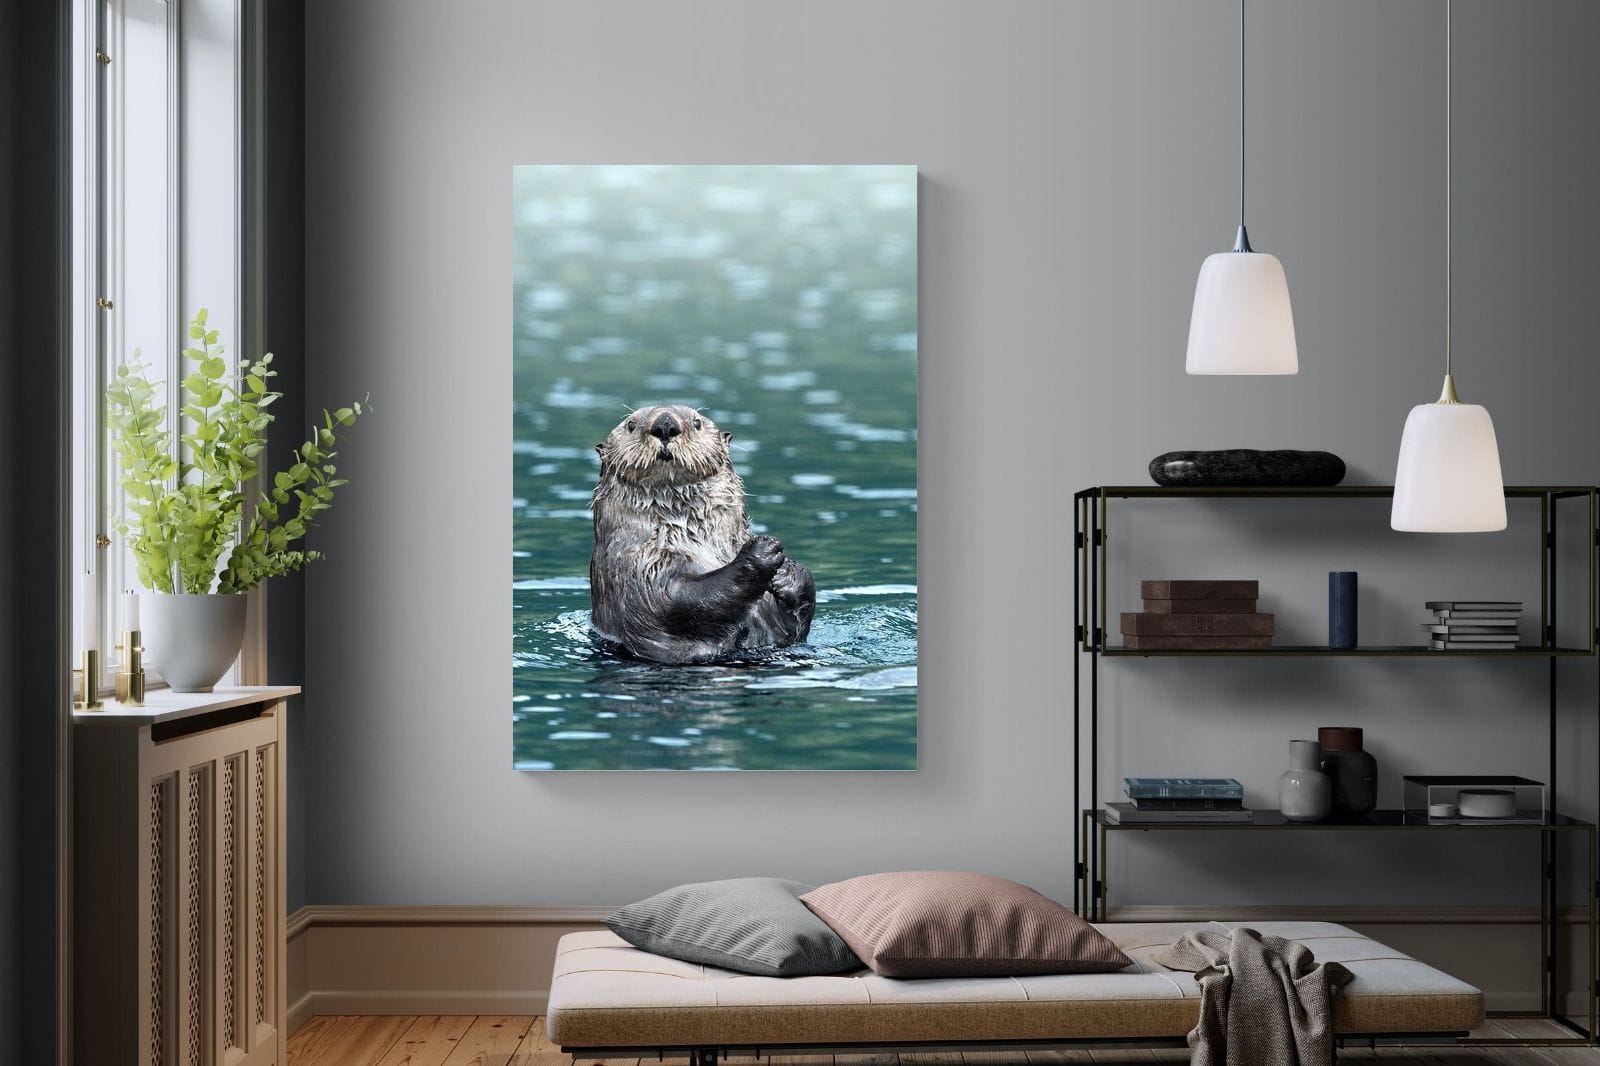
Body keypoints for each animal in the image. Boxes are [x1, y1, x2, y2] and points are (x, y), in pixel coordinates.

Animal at [589, 404, 816, 664]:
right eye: (630, 425)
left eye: (696, 422)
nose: (665, 425)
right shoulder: (637, 566)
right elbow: (676, 600)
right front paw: (762, 551)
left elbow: (795, 627)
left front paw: (787, 571)